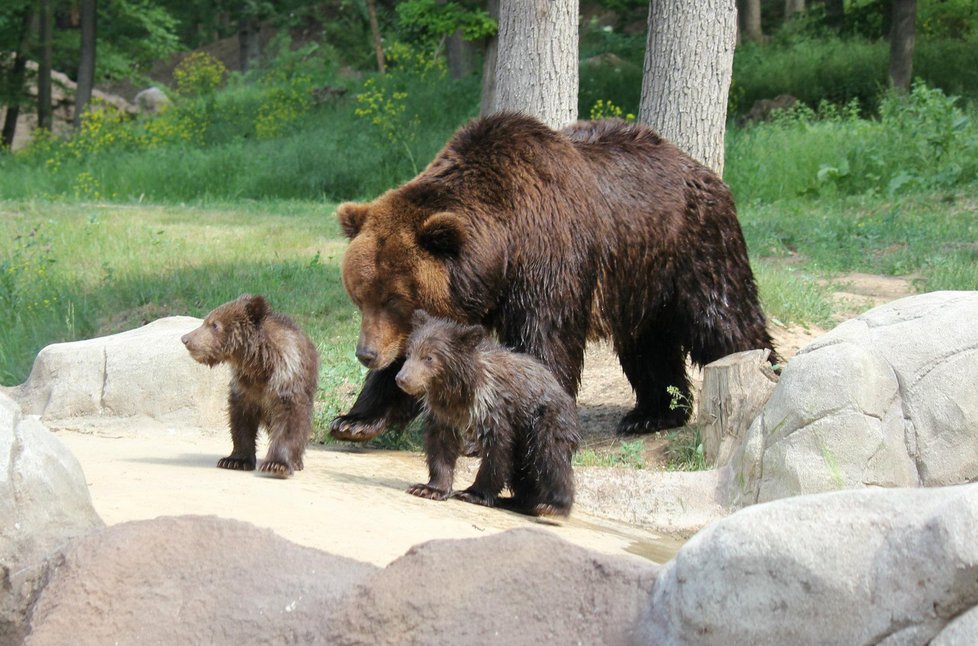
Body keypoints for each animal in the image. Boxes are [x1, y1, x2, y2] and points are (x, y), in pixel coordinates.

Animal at [332, 114, 772, 442]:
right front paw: (354, 420)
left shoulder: (549, 258)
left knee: (723, 319)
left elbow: (544, 341)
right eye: (359, 295)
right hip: (639, 279)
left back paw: (763, 381)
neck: (502, 250)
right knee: (647, 343)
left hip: (693, 246)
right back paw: (651, 414)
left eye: (396, 299)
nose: (365, 353)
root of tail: (703, 170)